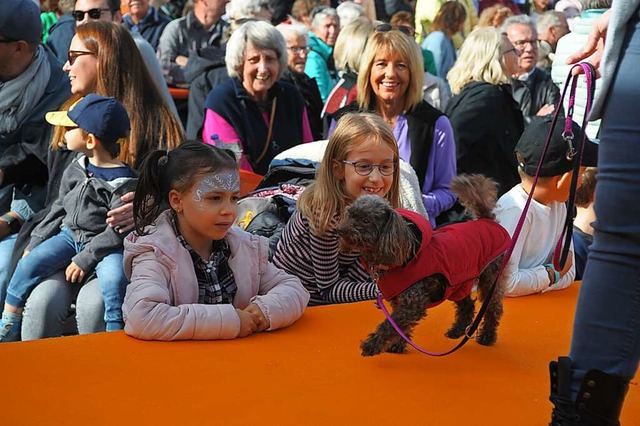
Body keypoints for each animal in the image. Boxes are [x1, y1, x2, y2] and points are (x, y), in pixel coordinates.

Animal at [336, 173, 510, 356]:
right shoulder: (399, 301)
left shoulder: (413, 302)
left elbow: (390, 325)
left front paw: (372, 344)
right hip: (458, 283)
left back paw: (487, 337)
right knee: (467, 304)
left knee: (493, 308)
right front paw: (398, 345)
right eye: (350, 215)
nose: (340, 230)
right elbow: (399, 327)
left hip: (491, 277)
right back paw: (457, 331)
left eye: (366, 220)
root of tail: (486, 220)